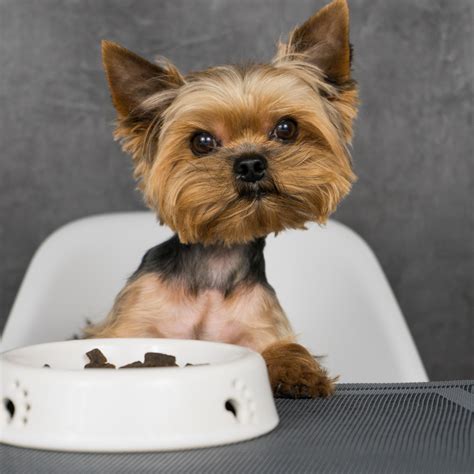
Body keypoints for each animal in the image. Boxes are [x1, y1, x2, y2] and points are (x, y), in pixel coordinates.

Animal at [87, 0, 358, 400]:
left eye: (286, 128)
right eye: (202, 141)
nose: (250, 164)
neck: (216, 263)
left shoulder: (259, 327)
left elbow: (283, 347)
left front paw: (298, 371)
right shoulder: (132, 323)